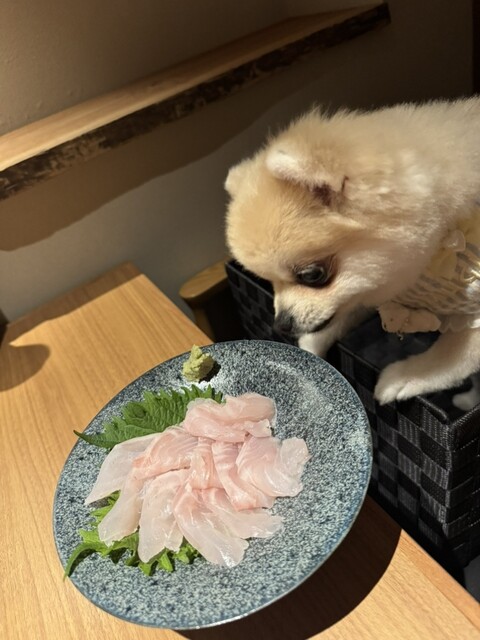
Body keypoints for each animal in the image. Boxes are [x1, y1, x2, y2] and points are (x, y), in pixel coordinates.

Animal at [224, 98, 480, 407]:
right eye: (268, 282)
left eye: (312, 275)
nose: (282, 324)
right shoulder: (377, 285)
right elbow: (350, 308)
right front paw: (311, 345)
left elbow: (458, 351)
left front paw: (409, 375)